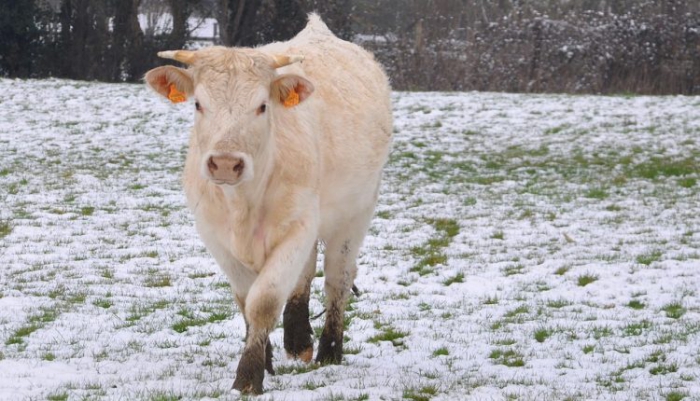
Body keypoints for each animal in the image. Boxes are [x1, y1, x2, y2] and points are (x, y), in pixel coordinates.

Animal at [143, 13, 394, 394]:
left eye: (262, 106)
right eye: (199, 104)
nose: (226, 164)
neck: (242, 203)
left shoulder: (298, 227)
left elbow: (264, 301)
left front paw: (248, 376)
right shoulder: (215, 234)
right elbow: (246, 300)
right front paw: (266, 360)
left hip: (356, 211)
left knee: (337, 277)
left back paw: (328, 350)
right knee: (306, 273)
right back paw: (298, 339)